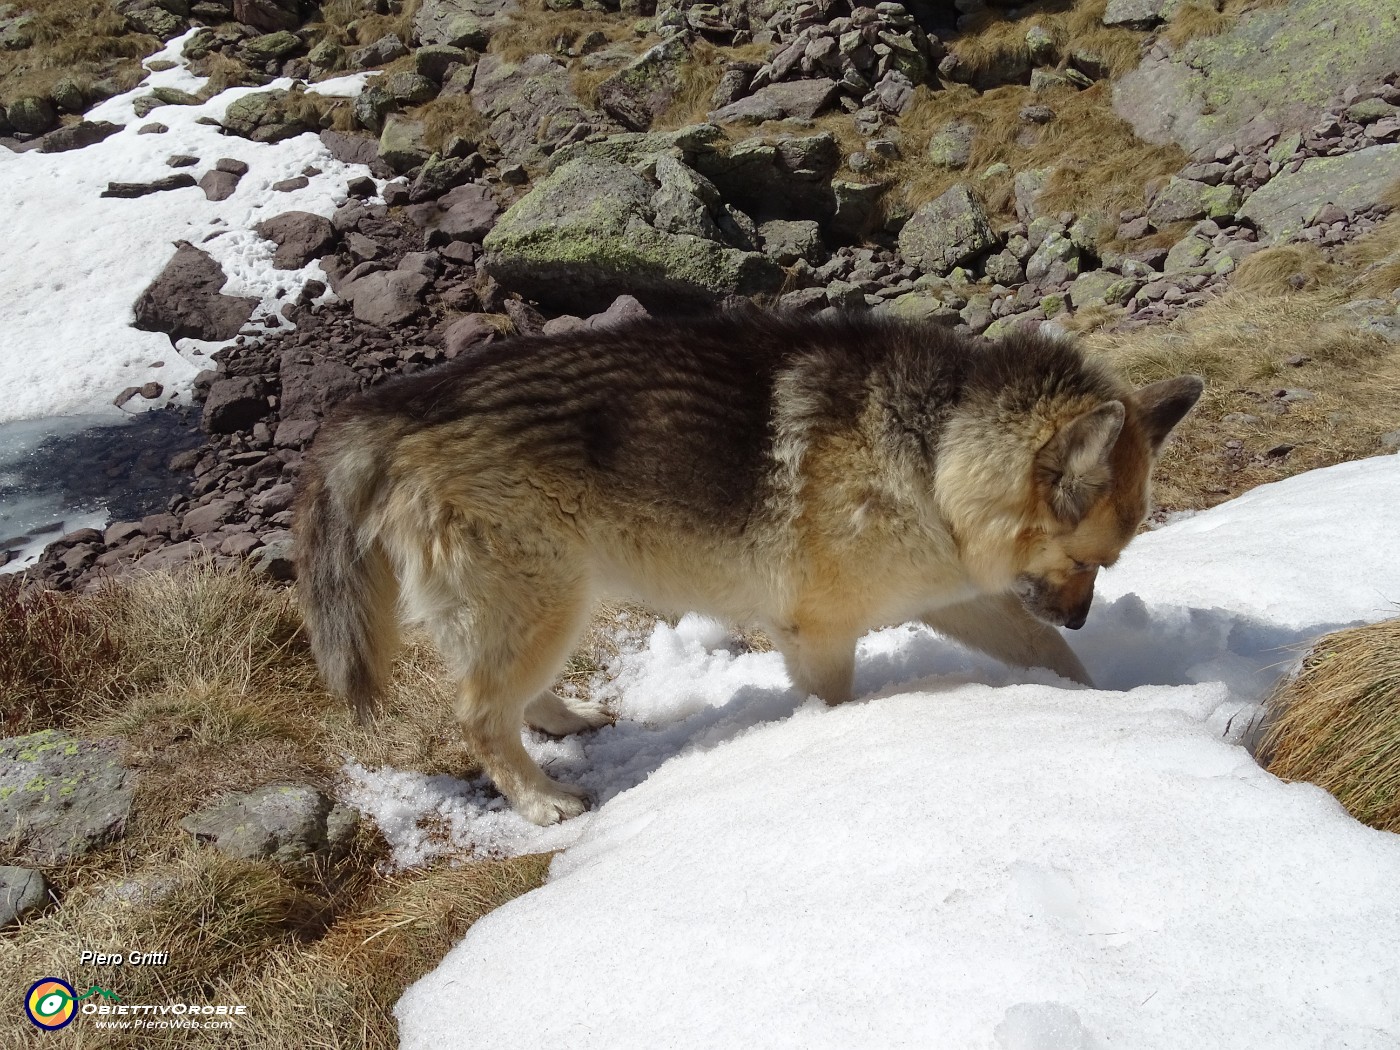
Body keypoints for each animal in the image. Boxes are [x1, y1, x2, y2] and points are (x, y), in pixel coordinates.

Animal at [295, 316, 1204, 828]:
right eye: (1086, 560)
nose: (1084, 612)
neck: (935, 451)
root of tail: (381, 413)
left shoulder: (958, 599)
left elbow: (1052, 658)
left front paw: (1101, 703)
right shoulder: (820, 634)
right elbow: (836, 704)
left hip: (552, 597)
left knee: (504, 695)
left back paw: (564, 720)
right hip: (538, 599)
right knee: (479, 715)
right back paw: (540, 799)